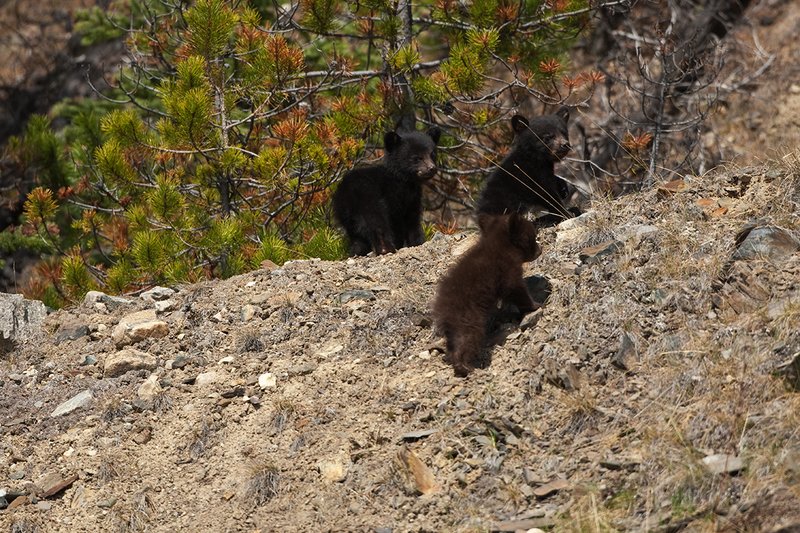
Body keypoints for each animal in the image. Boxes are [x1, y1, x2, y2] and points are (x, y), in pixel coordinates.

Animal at [332, 126, 441, 256]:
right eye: (416, 158)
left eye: (433, 154)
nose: (431, 168)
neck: (402, 178)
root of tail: (348, 192)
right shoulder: (399, 198)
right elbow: (409, 221)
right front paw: (417, 242)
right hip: (370, 201)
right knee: (377, 223)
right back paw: (386, 249)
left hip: (346, 215)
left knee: (357, 236)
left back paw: (357, 251)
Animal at [433, 212, 542, 377]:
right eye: (532, 236)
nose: (540, 250)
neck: (498, 244)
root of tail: (443, 310)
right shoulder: (507, 269)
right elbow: (515, 289)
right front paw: (535, 305)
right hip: (469, 318)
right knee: (467, 338)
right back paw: (464, 366)